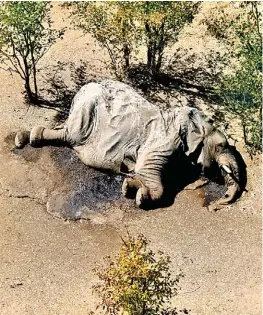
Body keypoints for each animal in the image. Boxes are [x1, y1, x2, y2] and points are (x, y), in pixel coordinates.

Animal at [15, 80, 244, 211]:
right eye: (221, 145)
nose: (215, 206)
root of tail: (83, 88)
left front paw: (130, 186)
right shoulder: (166, 139)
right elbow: (147, 169)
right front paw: (138, 195)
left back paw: (24, 137)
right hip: (86, 109)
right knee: (71, 135)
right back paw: (27, 138)